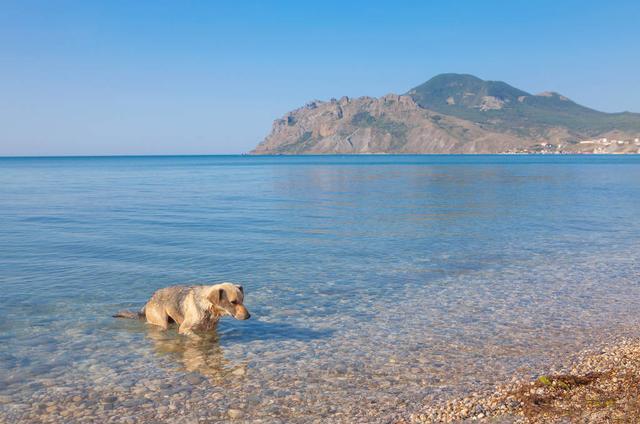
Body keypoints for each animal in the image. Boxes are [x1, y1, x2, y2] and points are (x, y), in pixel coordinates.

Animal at [114, 284, 249, 336]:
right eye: (233, 302)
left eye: (242, 300)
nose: (249, 316)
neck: (208, 308)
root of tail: (150, 299)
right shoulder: (184, 328)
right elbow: (195, 336)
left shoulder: (211, 329)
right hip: (161, 321)